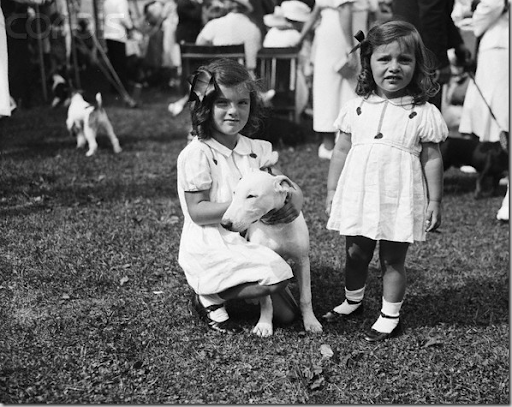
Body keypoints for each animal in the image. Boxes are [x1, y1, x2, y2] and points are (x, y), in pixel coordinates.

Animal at [221, 169, 324, 338]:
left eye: (251, 196)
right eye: (234, 193)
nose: (225, 223)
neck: (276, 226)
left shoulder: (302, 261)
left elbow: (306, 296)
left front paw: (311, 322)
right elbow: (266, 302)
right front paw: (264, 325)